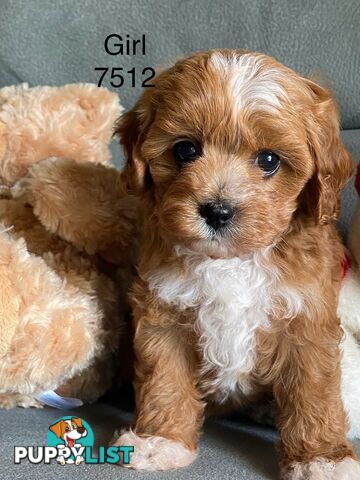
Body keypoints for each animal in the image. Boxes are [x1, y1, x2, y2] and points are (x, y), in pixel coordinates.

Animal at [113, 50, 360, 478]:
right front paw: (161, 442)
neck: (232, 260)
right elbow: (165, 380)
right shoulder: (164, 311)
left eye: (269, 160)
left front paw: (322, 459)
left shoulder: (307, 319)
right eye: (185, 150)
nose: (217, 210)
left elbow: (314, 392)